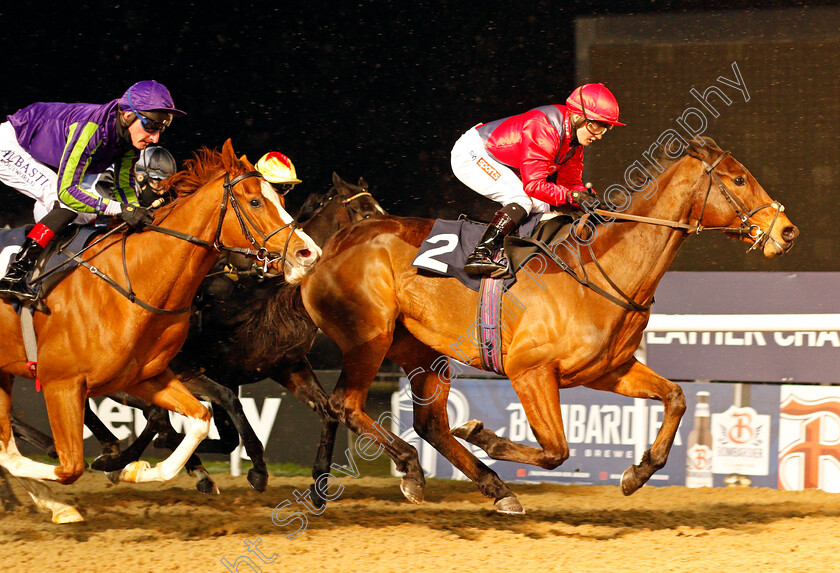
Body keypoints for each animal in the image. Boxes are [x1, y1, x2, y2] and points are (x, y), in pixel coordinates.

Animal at [0, 140, 322, 524]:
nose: (309, 253)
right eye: (256, 201)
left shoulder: (146, 376)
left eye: (283, 200)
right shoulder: (63, 383)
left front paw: (131, 467)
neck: (134, 281)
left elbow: (197, 420)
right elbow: (69, 464)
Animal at [298, 137, 796, 512]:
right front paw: (485, 436)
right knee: (345, 405)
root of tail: (330, 246)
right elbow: (557, 450)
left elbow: (675, 396)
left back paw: (493, 489)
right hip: (369, 337)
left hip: (420, 350)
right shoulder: (530, 371)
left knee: (429, 423)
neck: (599, 269)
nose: (787, 230)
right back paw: (412, 469)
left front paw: (638, 473)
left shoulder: (607, 371)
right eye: (738, 178)